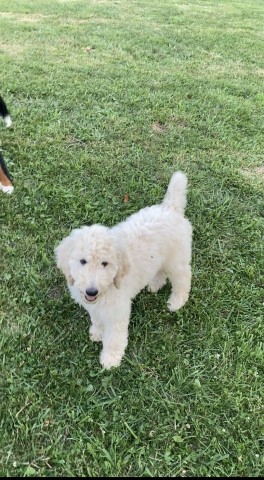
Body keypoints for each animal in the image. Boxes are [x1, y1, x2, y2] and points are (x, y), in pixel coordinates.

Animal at [55, 172, 192, 368]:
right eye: (83, 261)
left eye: (105, 263)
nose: (91, 291)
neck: (107, 288)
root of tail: (170, 208)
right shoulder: (95, 307)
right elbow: (97, 318)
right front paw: (97, 332)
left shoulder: (117, 311)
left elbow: (114, 338)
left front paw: (110, 360)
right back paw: (155, 284)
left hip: (176, 259)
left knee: (183, 278)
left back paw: (176, 302)